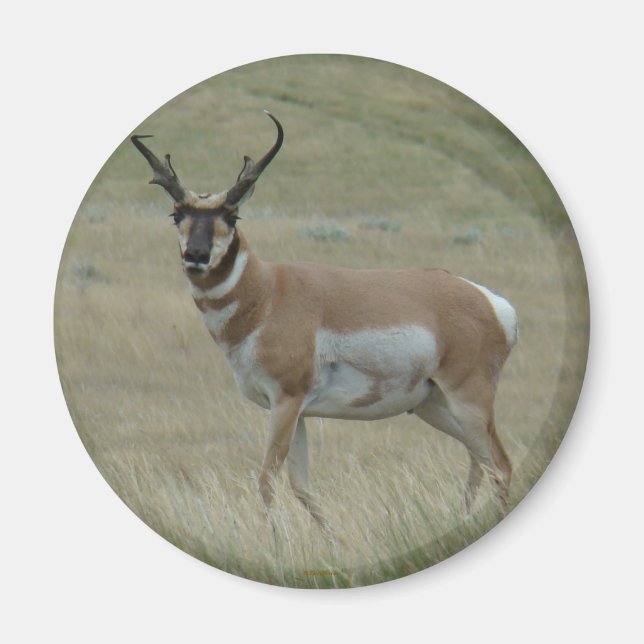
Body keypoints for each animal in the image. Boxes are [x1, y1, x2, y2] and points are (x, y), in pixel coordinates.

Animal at [131, 112, 518, 532]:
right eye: (177, 215)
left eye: (231, 216)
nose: (197, 255)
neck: (268, 293)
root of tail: (491, 302)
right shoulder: (297, 411)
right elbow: (301, 486)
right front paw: (335, 539)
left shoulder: (286, 401)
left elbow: (267, 479)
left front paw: (275, 541)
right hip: (435, 405)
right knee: (480, 461)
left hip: (469, 399)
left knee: (501, 466)